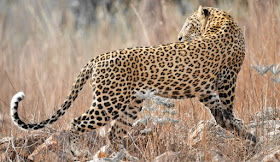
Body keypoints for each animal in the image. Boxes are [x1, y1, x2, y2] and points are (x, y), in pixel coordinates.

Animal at [10, 5, 256, 156]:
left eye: (189, 24)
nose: (179, 38)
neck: (222, 21)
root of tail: (98, 58)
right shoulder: (227, 78)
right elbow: (228, 109)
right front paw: (243, 132)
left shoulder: (206, 88)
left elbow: (222, 113)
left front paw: (245, 133)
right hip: (108, 102)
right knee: (77, 122)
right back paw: (76, 152)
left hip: (130, 104)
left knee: (114, 133)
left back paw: (126, 157)